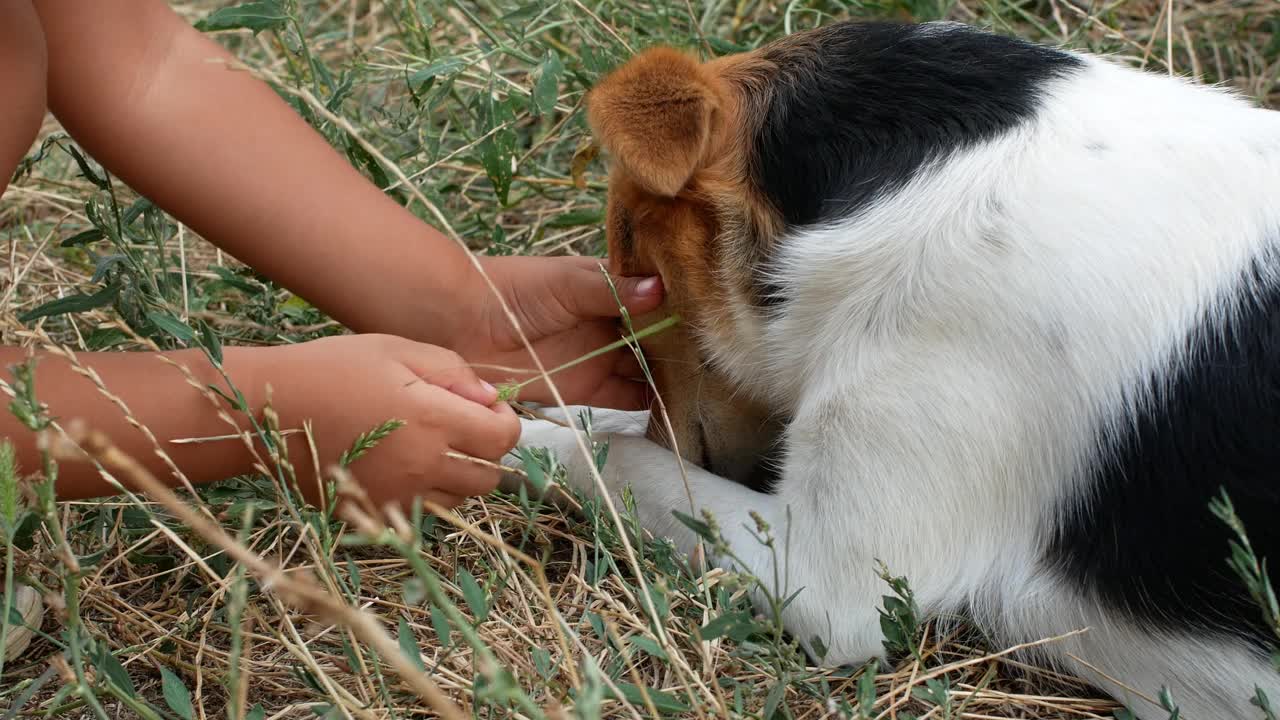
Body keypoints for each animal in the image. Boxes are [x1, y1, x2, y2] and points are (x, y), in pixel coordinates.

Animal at [501, 19, 1280, 712]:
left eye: (633, 276)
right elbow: (623, 441)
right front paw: (571, 406)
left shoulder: (827, 578)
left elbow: (613, 461)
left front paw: (513, 439)